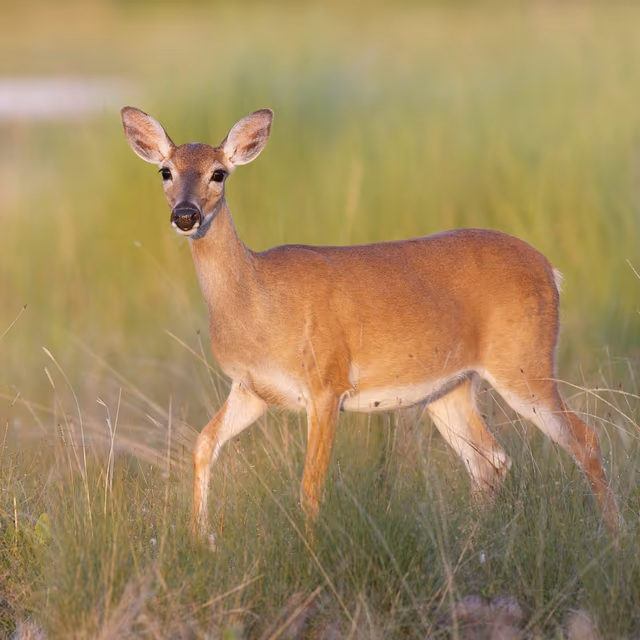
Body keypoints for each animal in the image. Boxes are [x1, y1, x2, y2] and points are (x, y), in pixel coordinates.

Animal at [120, 106, 620, 542]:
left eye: (219, 173)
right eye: (165, 170)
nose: (186, 215)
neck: (257, 301)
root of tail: (551, 270)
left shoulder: (327, 382)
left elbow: (310, 486)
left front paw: (310, 556)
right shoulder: (252, 389)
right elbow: (203, 445)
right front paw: (198, 539)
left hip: (523, 361)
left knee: (586, 437)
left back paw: (612, 540)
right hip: (449, 387)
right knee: (491, 459)